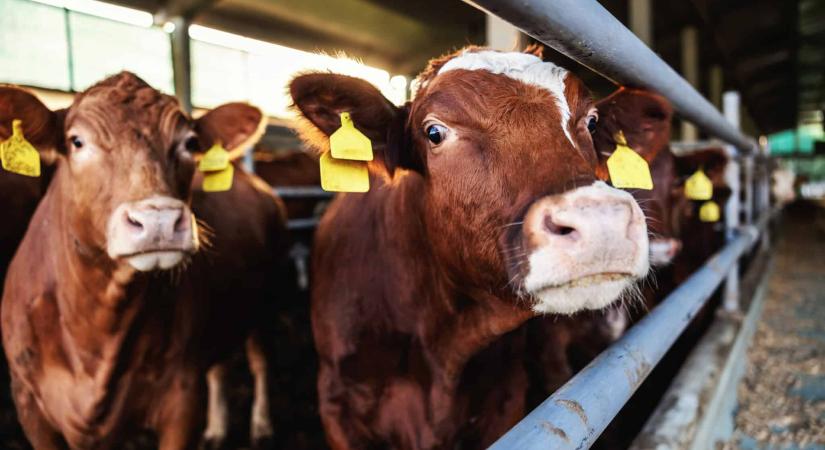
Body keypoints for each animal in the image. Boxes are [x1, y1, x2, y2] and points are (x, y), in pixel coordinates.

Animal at [0, 74, 290, 450]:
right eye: (77, 141)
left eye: (190, 143)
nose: (159, 221)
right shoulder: (28, 404)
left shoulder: (182, 396)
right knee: (220, 367)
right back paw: (216, 430)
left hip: (268, 298)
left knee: (260, 360)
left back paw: (262, 426)